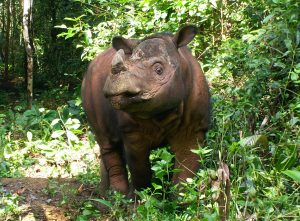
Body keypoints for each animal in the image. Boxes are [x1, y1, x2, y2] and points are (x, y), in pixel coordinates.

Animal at [81, 25, 210, 195]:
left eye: (159, 70)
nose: (115, 84)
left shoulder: (193, 127)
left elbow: (186, 171)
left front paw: (181, 199)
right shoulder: (132, 131)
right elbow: (139, 170)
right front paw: (140, 198)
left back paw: (105, 194)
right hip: (87, 86)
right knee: (107, 142)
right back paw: (117, 195)